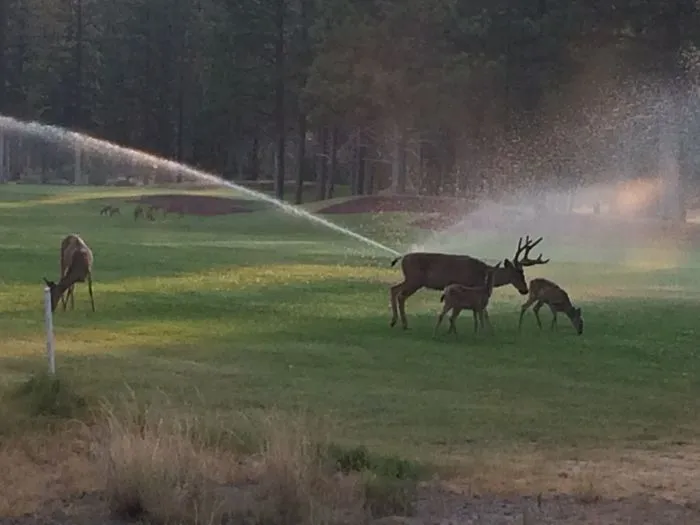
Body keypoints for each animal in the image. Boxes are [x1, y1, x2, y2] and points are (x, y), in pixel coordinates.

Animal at [389, 235, 549, 330]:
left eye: (523, 274)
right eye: (518, 274)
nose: (525, 290)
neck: (482, 272)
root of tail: (402, 257)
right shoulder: (472, 286)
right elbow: (483, 311)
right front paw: (488, 329)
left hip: (411, 279)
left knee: (394, 289)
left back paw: (395, 321)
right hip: (415, 280)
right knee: (400, 295)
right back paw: (403, 323)